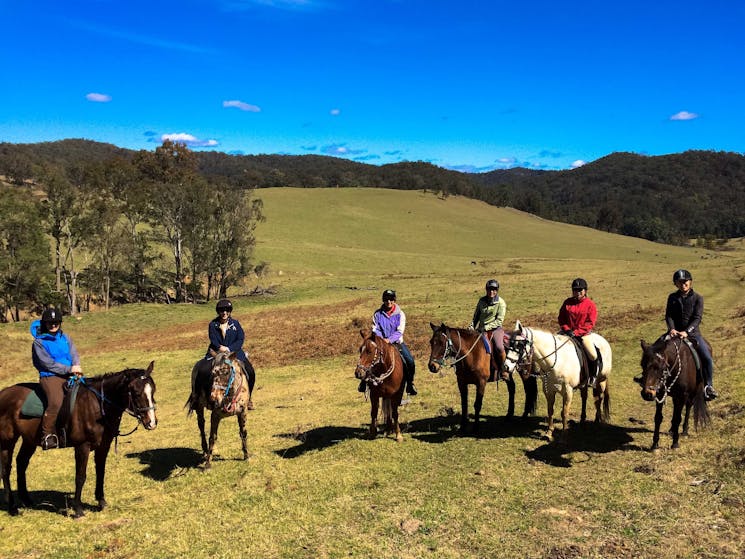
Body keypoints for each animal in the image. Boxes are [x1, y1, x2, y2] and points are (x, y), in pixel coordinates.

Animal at [0, 366, 157, 520]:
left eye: (153, 390)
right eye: (136, 392)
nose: (152, 423)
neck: (97, 406)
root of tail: (4, 393)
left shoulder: (103, 446)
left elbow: (101, 472)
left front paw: (101, 502)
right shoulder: (83, 447)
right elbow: (80, 476)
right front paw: (78, 510)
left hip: (29, 440)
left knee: (21, 463)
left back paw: (26, 500)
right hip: (8, 440)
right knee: (6, 470)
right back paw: (12, 508)